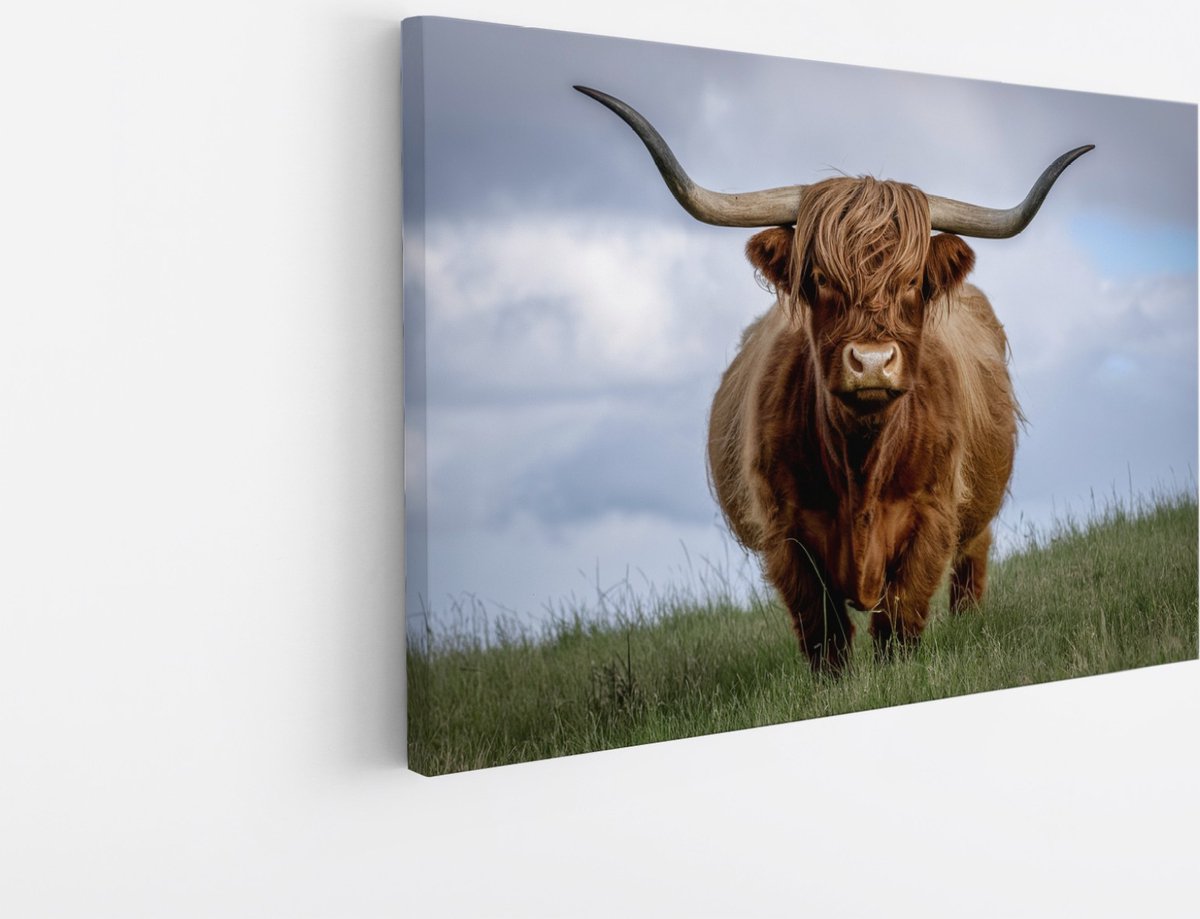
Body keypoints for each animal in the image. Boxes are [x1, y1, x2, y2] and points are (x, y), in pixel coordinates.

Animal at [575, 85, 1092, 674]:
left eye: (911, 280)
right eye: (821, 278)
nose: (871, 361)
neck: (861, 463)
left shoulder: (933, 515)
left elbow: (900, 618)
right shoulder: (787, 531)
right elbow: (823, 630)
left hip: (977, 513)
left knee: (971, 566)